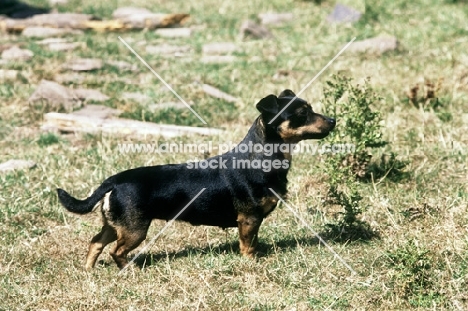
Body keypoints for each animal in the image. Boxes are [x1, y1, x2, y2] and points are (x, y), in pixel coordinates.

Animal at [57, 89, 336, 270]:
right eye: (302, 113)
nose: (333, 120)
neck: (263, 157)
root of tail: (113, 181)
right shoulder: (249, 219)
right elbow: (248, 245)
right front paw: (251, 264)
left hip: (114, 225)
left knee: (95, 243)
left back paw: (89, 270)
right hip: (134, 229)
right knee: (117, 251)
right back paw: (131, 269)